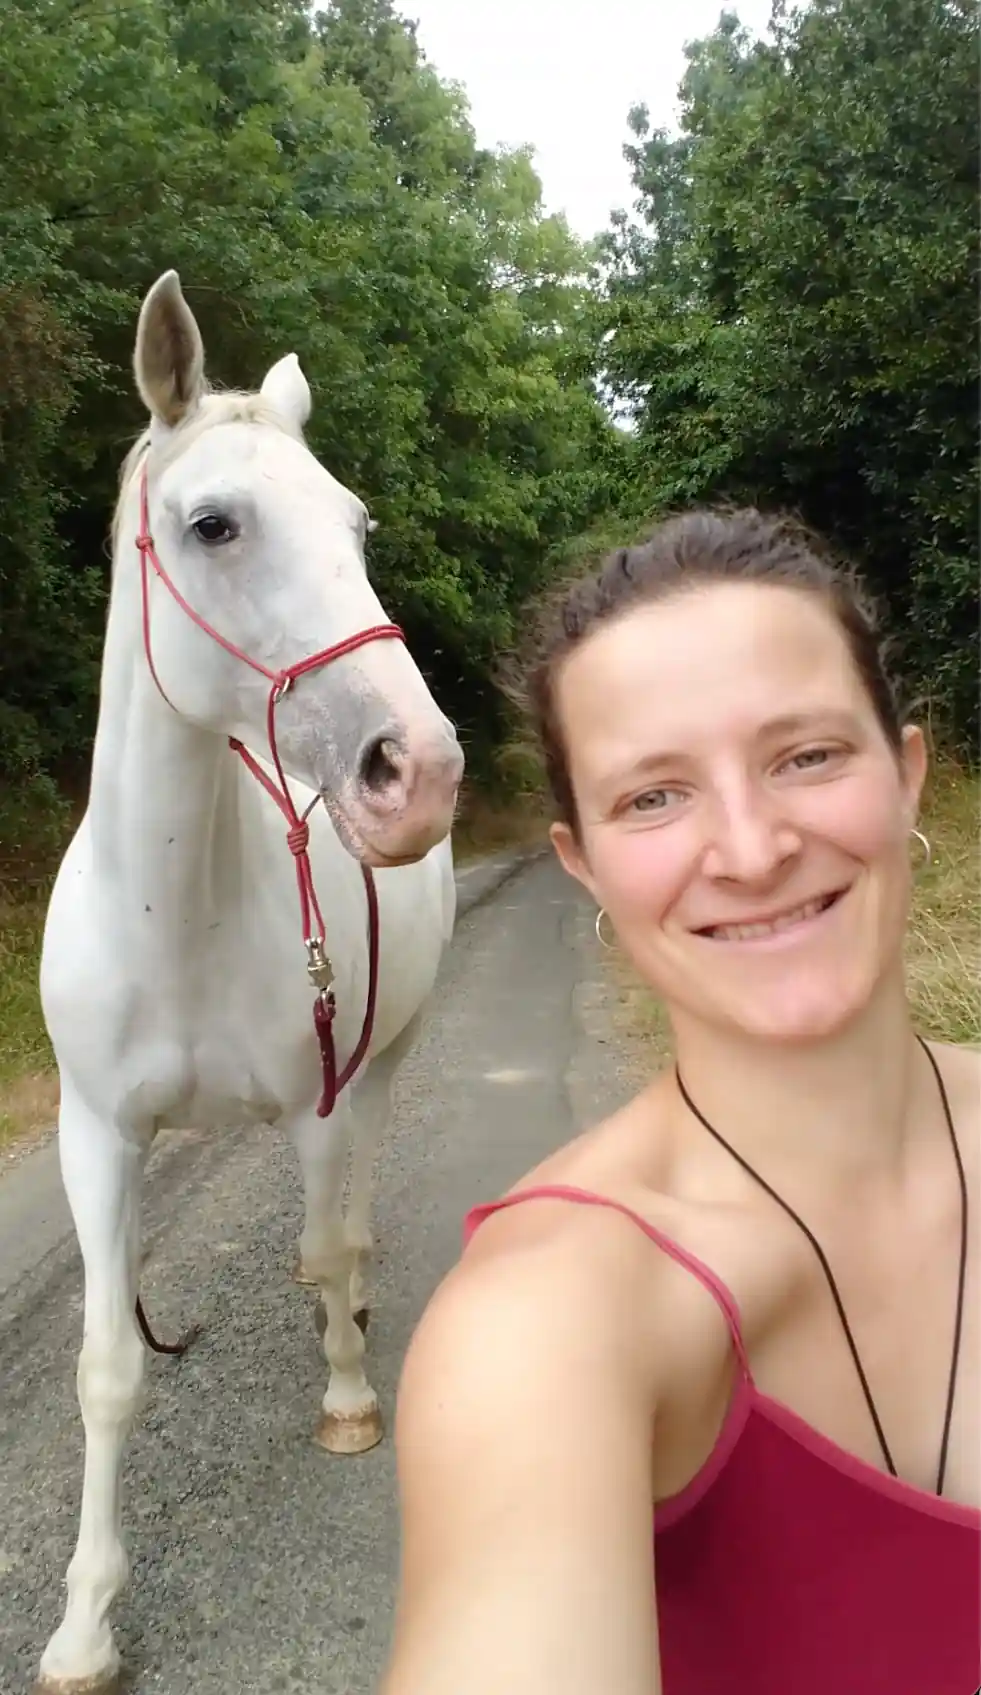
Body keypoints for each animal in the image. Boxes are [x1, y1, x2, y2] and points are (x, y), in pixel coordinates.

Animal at [34, 270, 464, 1693]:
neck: (176, 918)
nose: (419, 770)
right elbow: (108, 1368)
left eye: (357, 523)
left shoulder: (323, 1093)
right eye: (213, 523)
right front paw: (84, 1622)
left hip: (380, 1060)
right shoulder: (96, 1137)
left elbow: (328, 1238)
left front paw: (346, 1400)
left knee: (353, 1208)